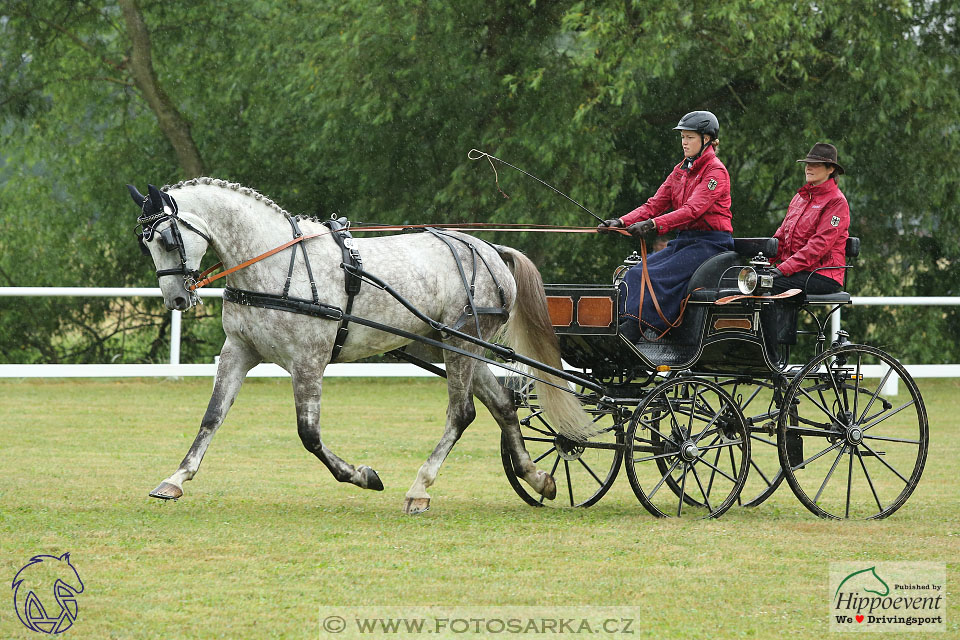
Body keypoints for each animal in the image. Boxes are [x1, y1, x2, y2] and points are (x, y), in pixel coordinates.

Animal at [129, 178, 592, 512]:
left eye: (167, 239)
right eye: (144, 243)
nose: (176, 299)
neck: (274, 262)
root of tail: (490, 248)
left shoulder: (308, 361)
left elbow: (309, 433)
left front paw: (362, 475)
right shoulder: (238, 352)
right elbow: (212, 417)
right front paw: (175, 479)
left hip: (464, 346)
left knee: (461, 414)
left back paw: (420, 488)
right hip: (455, 347)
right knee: (503, 407)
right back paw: (538, 478)